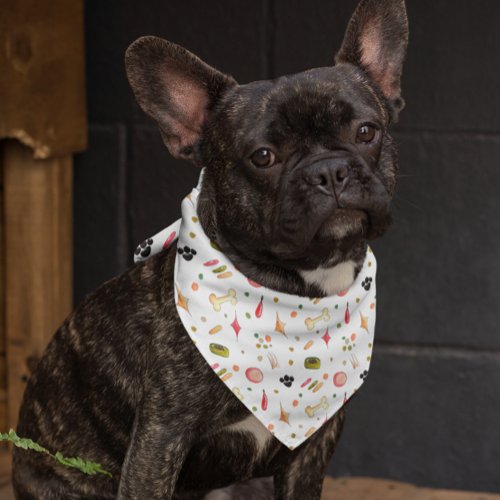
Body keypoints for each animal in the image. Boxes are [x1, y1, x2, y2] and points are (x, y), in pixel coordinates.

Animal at [13, 0, 408, 496]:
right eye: (263, 157)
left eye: (367, 131)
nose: (329, 170)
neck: (295, 291)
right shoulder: (159, 439)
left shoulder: (312, 450)